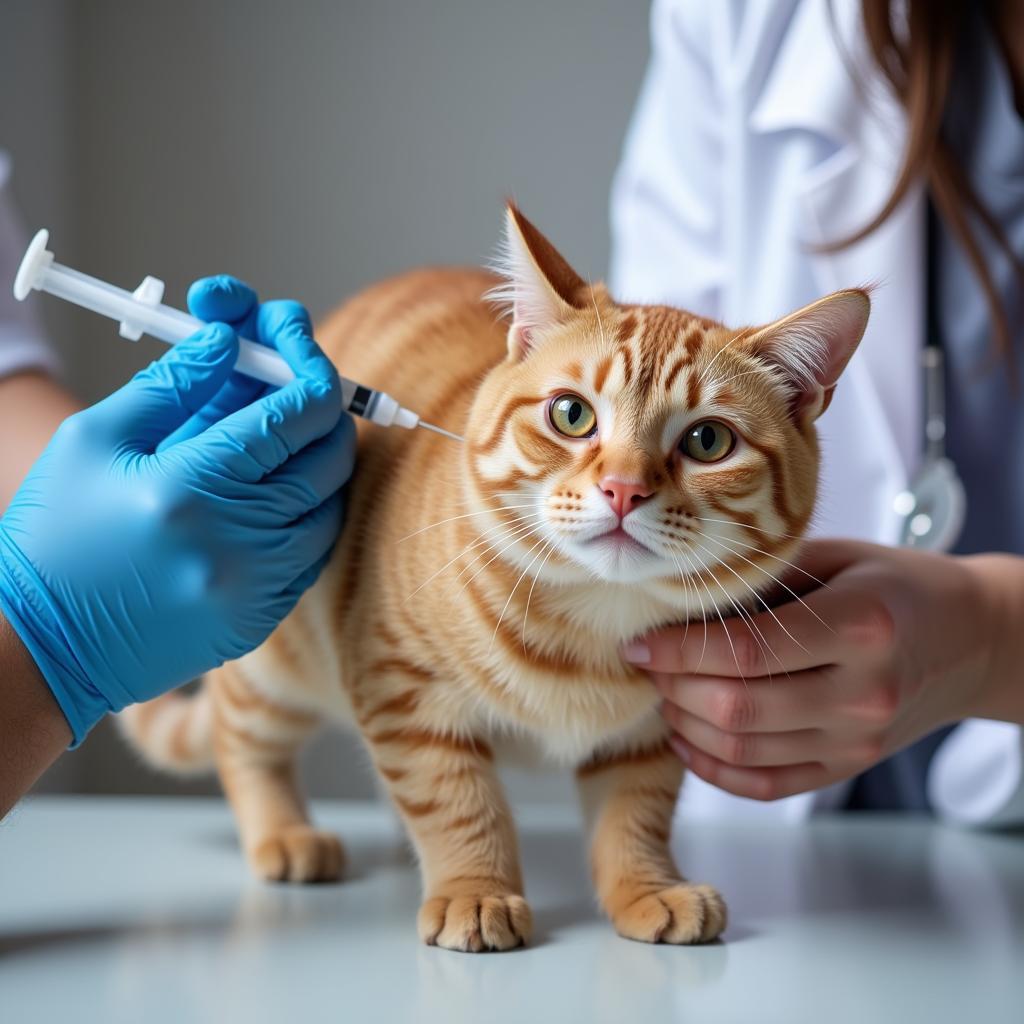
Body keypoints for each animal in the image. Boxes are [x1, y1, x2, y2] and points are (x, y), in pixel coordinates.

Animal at [119, 205, 872, 950]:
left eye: (708, 441)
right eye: (571, 413)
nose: (624, 489)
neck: (594, 625)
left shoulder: (649, 735)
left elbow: (635, 817)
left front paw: (647, 889)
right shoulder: (406, 693)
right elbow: (457, 803)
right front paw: (474, 891)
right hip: (279, 665)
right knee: (241, 738)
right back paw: (284, 833)